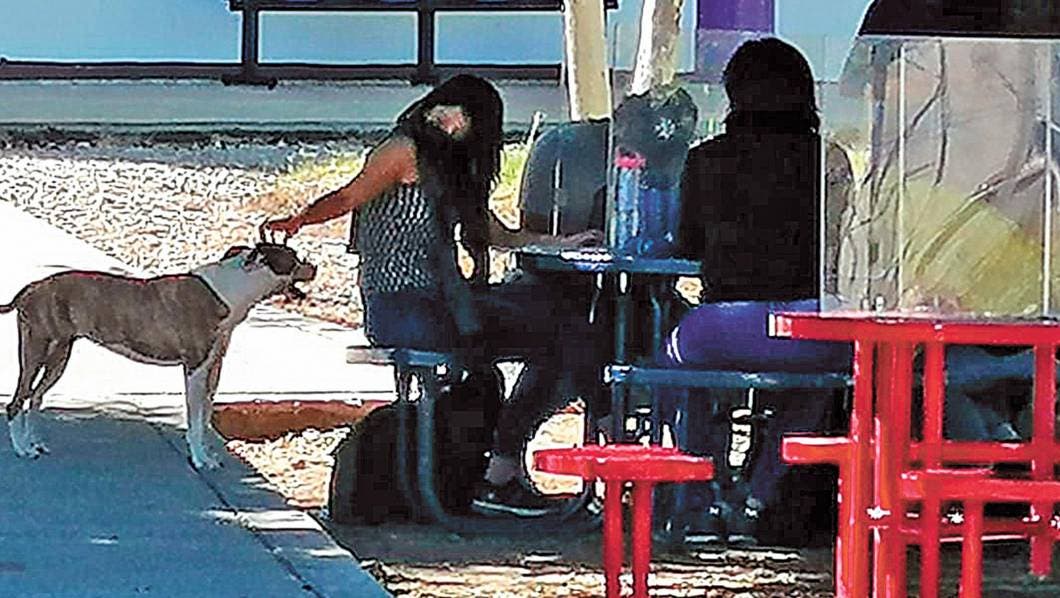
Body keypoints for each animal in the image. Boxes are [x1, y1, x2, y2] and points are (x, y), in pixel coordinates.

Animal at [0, 242, 316, 470]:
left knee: (35, 398)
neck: (233, 287)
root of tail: (30, 288)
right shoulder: (195, 368)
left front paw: (209, 455)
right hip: (35, 350)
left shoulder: (214, 368)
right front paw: (199, 459)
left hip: (59, 355)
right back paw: (22, 449)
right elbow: (195, 419)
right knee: (17, 402)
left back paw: (34, 443)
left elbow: (205, 416)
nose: (314, 265)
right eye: (293, 258)